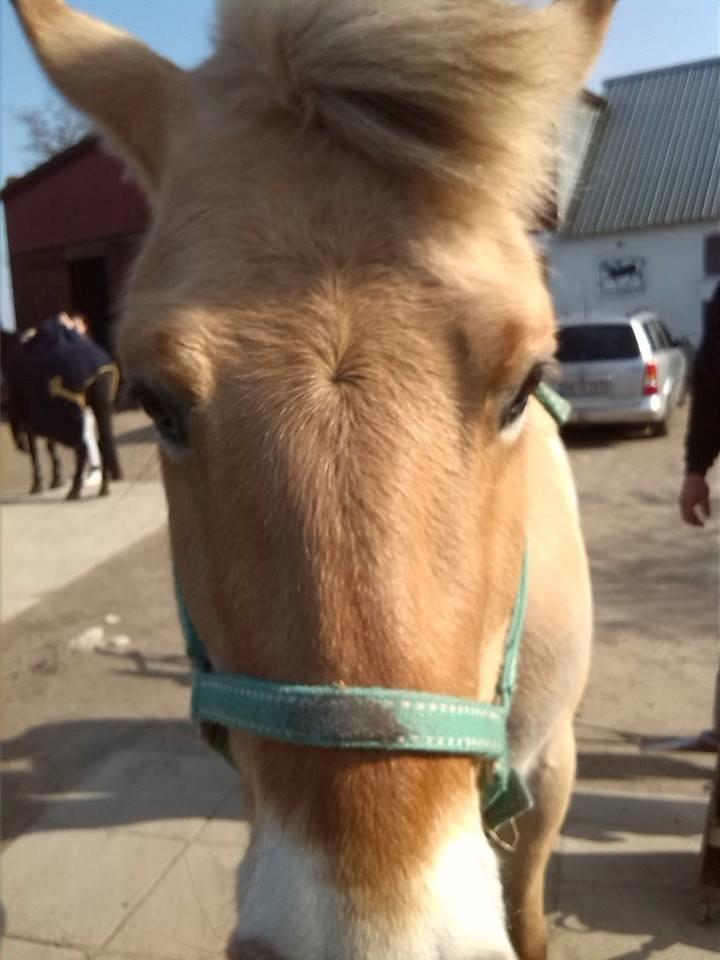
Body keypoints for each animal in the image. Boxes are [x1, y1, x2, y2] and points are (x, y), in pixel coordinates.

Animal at [2, 318, 122, 499]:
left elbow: (35, 450)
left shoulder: (32, 414)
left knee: (82, 447)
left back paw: (75, 490)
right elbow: (51, 446)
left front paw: (38, 485)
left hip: (71, 413)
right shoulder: (47, 413)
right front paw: (56, 480)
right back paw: (103, 487)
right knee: (102, 443)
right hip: (98, 405)